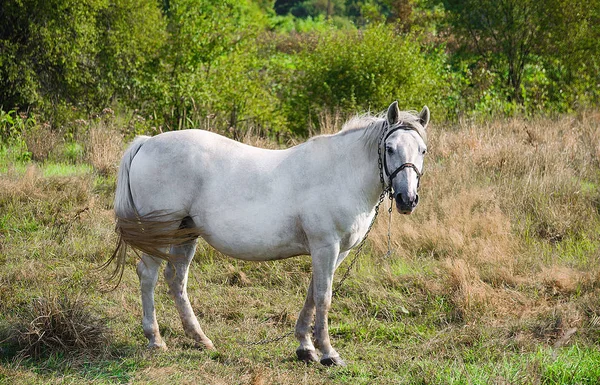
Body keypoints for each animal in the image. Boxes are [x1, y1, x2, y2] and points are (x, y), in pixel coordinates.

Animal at [110, 100, 428, 364]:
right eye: (390, 148)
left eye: (423, 150)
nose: (407, 199)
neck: (341, 174)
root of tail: (147, 143)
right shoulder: (326, 247)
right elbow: (324, 296)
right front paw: (328, 353)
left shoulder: (335, 252)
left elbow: (312, 294)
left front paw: (305, 348)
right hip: (161, 232)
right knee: (148, 275)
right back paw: (155, 339)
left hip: (186, 233)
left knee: (176, 280)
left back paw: (200, 339)